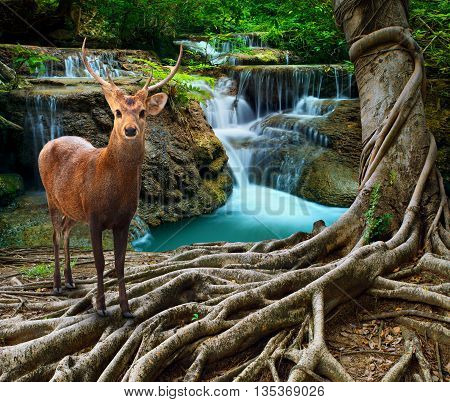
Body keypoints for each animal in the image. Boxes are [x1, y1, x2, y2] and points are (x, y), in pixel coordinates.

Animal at [39, 40, 183, 318]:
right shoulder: (94, 217)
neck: (113, 192)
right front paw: (101, 307)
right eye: (116, 112)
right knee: (54, 234)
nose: (130, 129)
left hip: (73, 208)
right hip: (50, 196)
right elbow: (100, 262)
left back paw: (71, 281)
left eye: (142, 112)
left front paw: (126, 308)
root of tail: (47, 143)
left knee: (65, 231)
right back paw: (57, 285)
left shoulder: (124, 220)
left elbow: (120, 263)